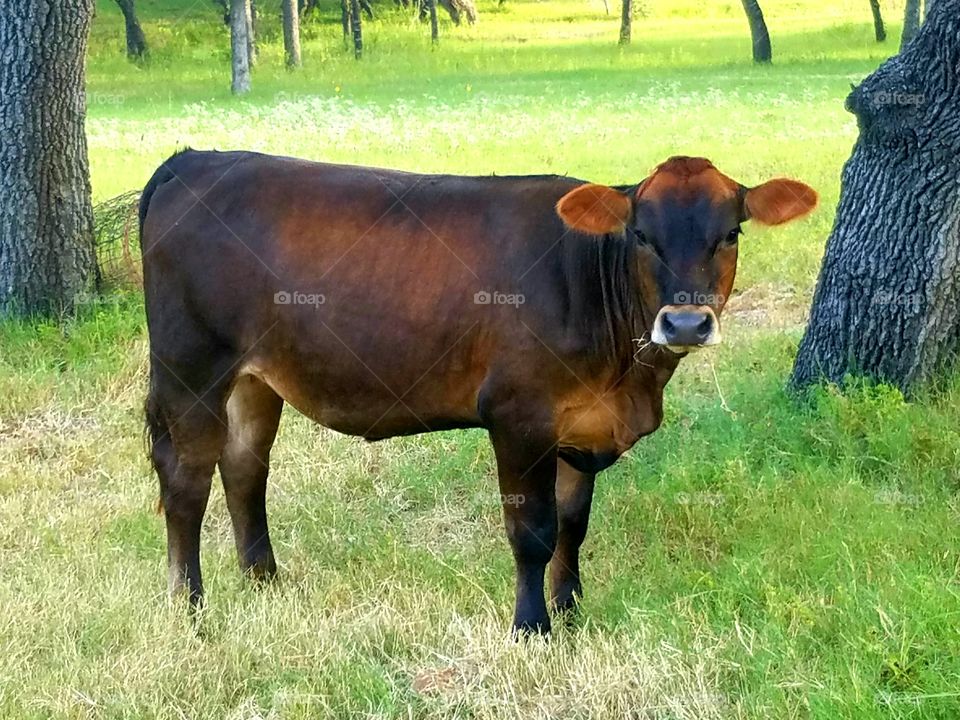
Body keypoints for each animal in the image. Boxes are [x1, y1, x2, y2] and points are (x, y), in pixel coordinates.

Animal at [141, 149, 816, 632]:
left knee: (244, 467)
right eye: (642, 236)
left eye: (730, 234)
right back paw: (189, 606)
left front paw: (570, 612)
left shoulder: (580, 429)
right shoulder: (518, 418)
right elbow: (534, 530)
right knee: (185, 481)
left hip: (254, 380)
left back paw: (264, 581)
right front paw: (532, 628)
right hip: (189, 367)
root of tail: (197, 158)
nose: (686, 323)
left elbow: (573, 524)